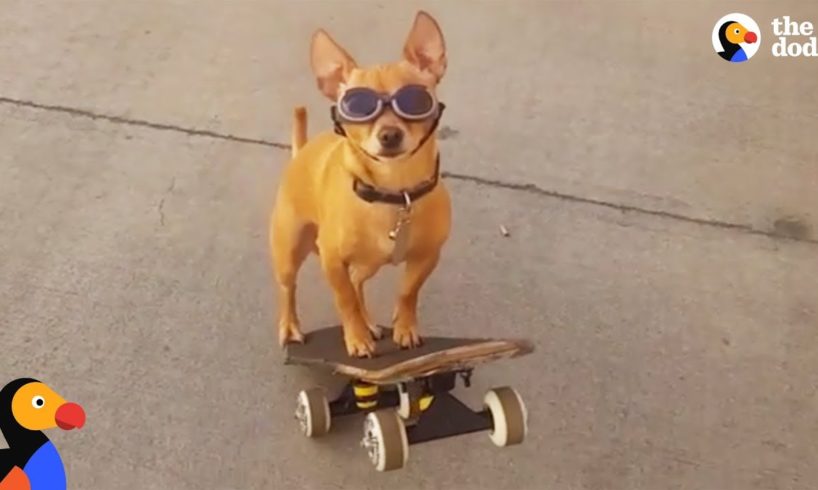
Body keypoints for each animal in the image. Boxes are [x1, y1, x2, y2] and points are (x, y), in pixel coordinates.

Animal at [268, 11, 450, 356]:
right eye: (356, 108)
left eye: (416, 100)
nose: (389, 134)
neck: (395, 194)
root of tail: (300, 152)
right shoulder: (332, 261)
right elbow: (345, 300)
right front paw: (356, 338)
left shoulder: (427, 257)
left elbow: (407, 292)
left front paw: (404, 328)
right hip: (288, 253)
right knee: (288, 289)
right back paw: (290, 327)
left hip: (369, 262)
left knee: (357, 280)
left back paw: (370, 323)